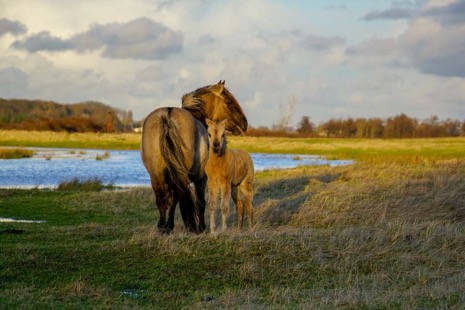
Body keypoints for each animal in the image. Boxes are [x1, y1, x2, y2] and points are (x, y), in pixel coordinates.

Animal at [141, 81, 248, 234]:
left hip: (155, 174)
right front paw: (201, 227)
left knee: (162, 198)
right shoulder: (202, 178)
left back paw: (162, 227)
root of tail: (167, 116)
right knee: (177, 197)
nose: (244, 124)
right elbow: (200, 202)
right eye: (229, 102)